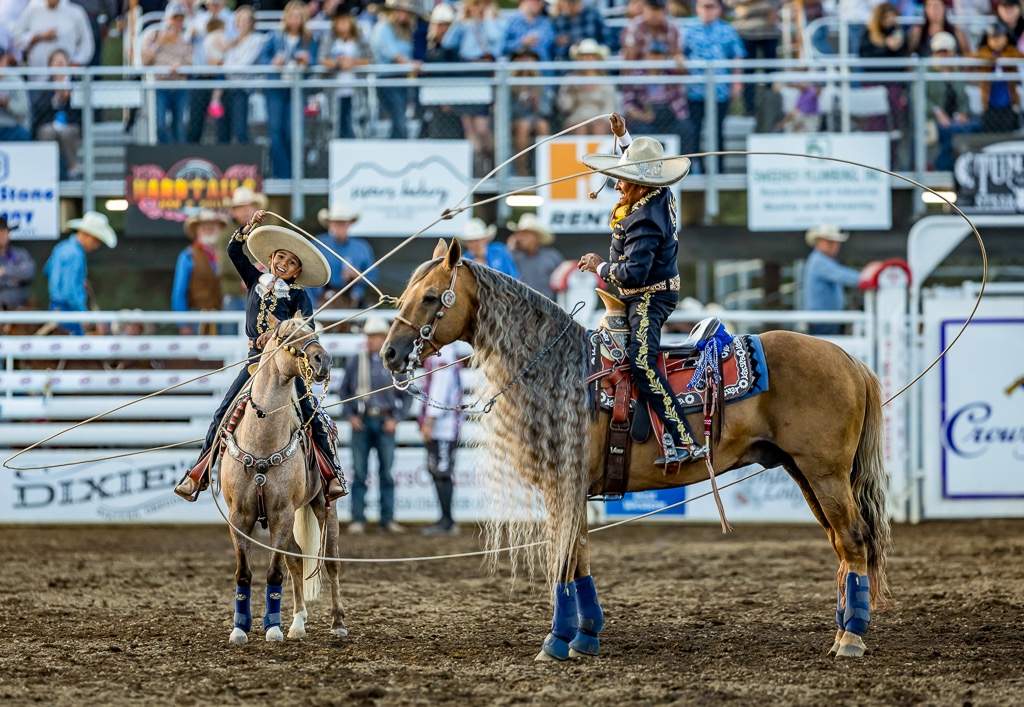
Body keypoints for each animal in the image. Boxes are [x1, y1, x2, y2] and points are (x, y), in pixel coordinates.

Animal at [220, 313, 348, 643]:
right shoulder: (239, 516)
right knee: (297, 557)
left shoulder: (282, 513)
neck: (262, 439)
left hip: (324, 505)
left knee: (331, 561)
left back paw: (337, 623)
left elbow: (274, 571)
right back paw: (298, 622)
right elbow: (244, 572)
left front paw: (272, 628)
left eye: (314, 332)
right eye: (287, 336)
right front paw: (240, 628)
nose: (324, 361)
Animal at [380, 237, 892, 659]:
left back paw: (851, 638)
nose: (389, 353)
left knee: (853, 540)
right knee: (842, 545)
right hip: (803, 473)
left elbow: (562, 559)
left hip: (824, 474)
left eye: (431, 297)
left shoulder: (562, 485)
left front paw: (556, 640)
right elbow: (578, 555)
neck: (559, 370)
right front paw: (586, 636)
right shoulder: (572, 489)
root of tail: (849, 359)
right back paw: (844, 626)